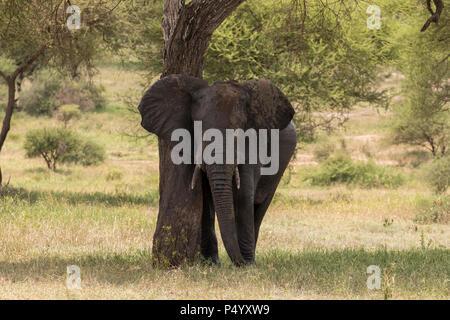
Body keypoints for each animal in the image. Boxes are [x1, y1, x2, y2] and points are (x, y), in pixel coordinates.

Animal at [139, 74, 298, 266]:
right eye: (198, 130)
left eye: (239, 133)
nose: (239, 262)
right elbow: (206, 195)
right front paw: (211, 263)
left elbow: (244, 194)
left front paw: (247, 265)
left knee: (260, 206)